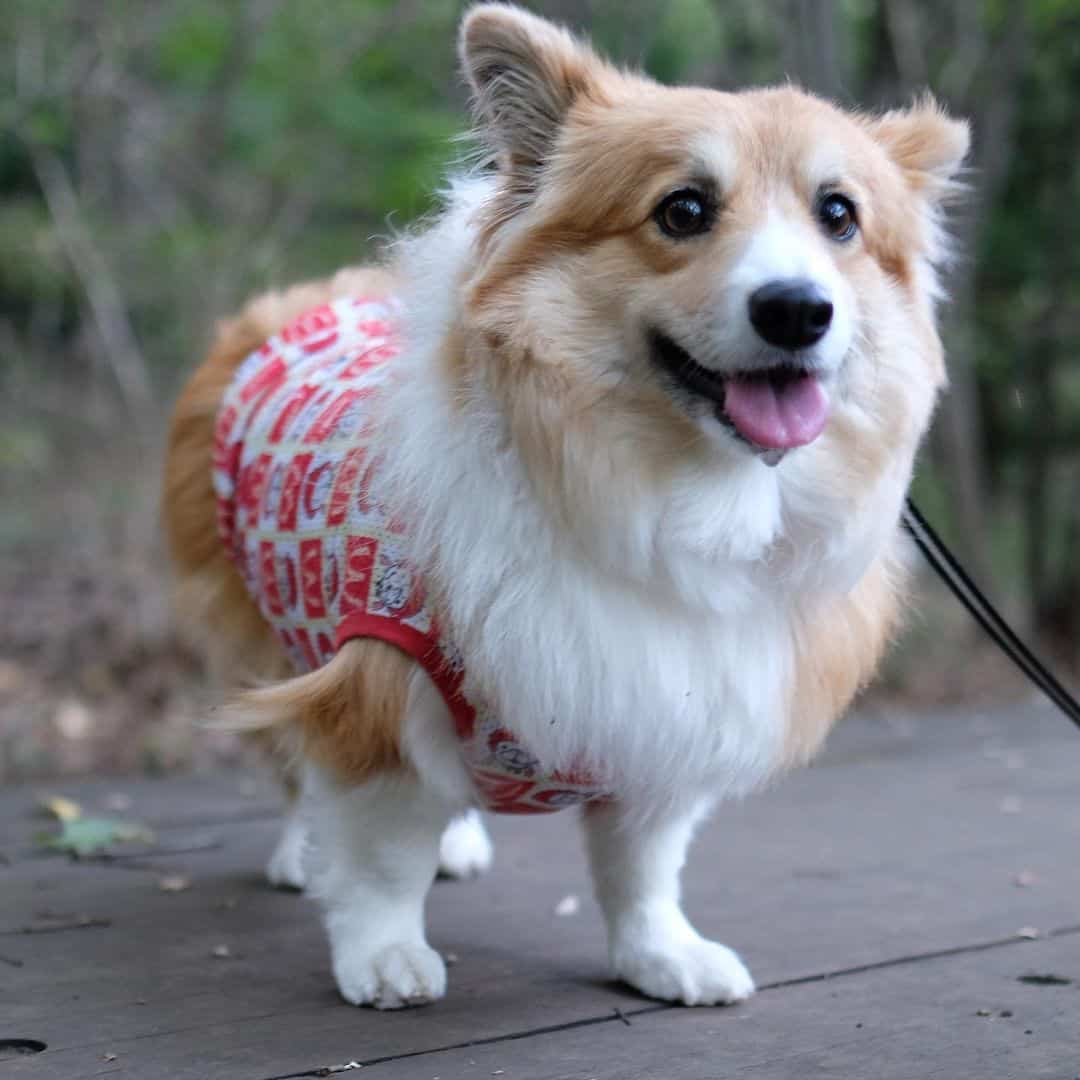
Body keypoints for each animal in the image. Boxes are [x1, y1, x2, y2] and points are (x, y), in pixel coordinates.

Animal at [164, 4, 967, 1006]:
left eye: (840, 215)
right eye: (683, 210)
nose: (797, 310)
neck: (662, 494)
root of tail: (302, 303)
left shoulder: (661, 713)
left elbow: (643, 864)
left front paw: (662, 955)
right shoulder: (372, 680)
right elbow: (382, 848)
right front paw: (384, 954)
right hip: (262, 625)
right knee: (291, 758)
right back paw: (301, 852)